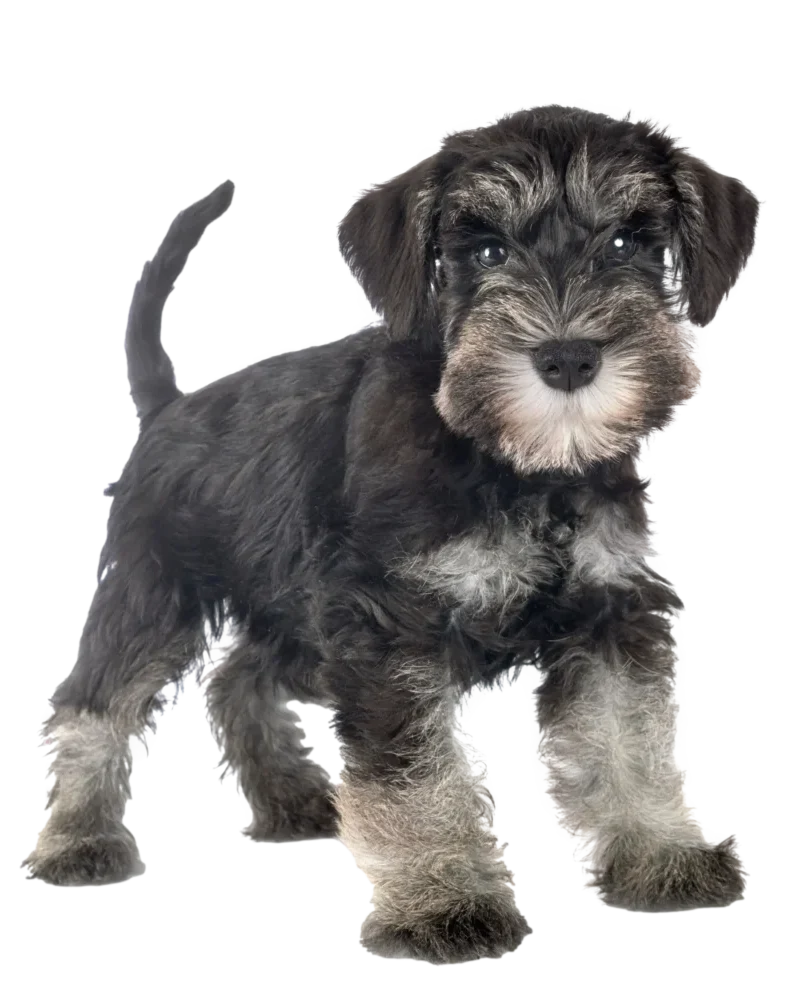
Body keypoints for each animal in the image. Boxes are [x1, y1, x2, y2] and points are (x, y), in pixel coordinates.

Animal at [29, 114, 753, 955]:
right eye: (484, 251)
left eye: (629, 244)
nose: (568, 357)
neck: (521, 466)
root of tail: (170, 409)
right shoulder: (389, 630)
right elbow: (418, 777)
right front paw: (445, 908)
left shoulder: (611, 610)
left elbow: (628, 737)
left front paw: (665, 861)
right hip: (154, 595)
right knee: (93, 711)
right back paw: (80, 841)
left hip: (299, 616)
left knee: (238, 680)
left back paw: (292, 802)